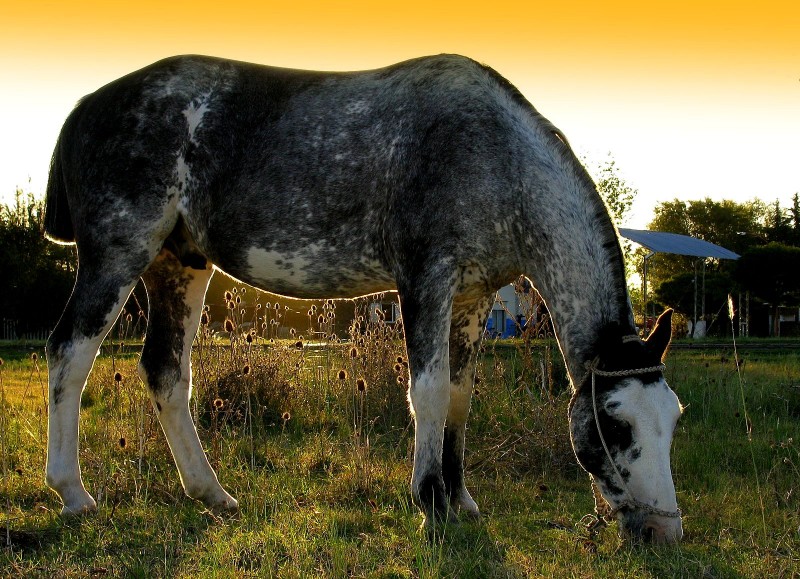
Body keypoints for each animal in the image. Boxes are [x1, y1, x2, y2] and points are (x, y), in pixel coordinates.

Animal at [42, 53, 680, 544]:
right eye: (616, 424)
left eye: (672, 419)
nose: (663, 531)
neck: (492, 156)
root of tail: (87, 105)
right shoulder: (426, 281)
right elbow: (428, 393)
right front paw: (431, 506)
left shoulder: (472, 300)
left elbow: (459, 397)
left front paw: (461, 501)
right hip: (117, 257)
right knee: (69, 353)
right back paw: (73, 493)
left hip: (180, 265)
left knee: (167, 372)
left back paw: (211, 493)